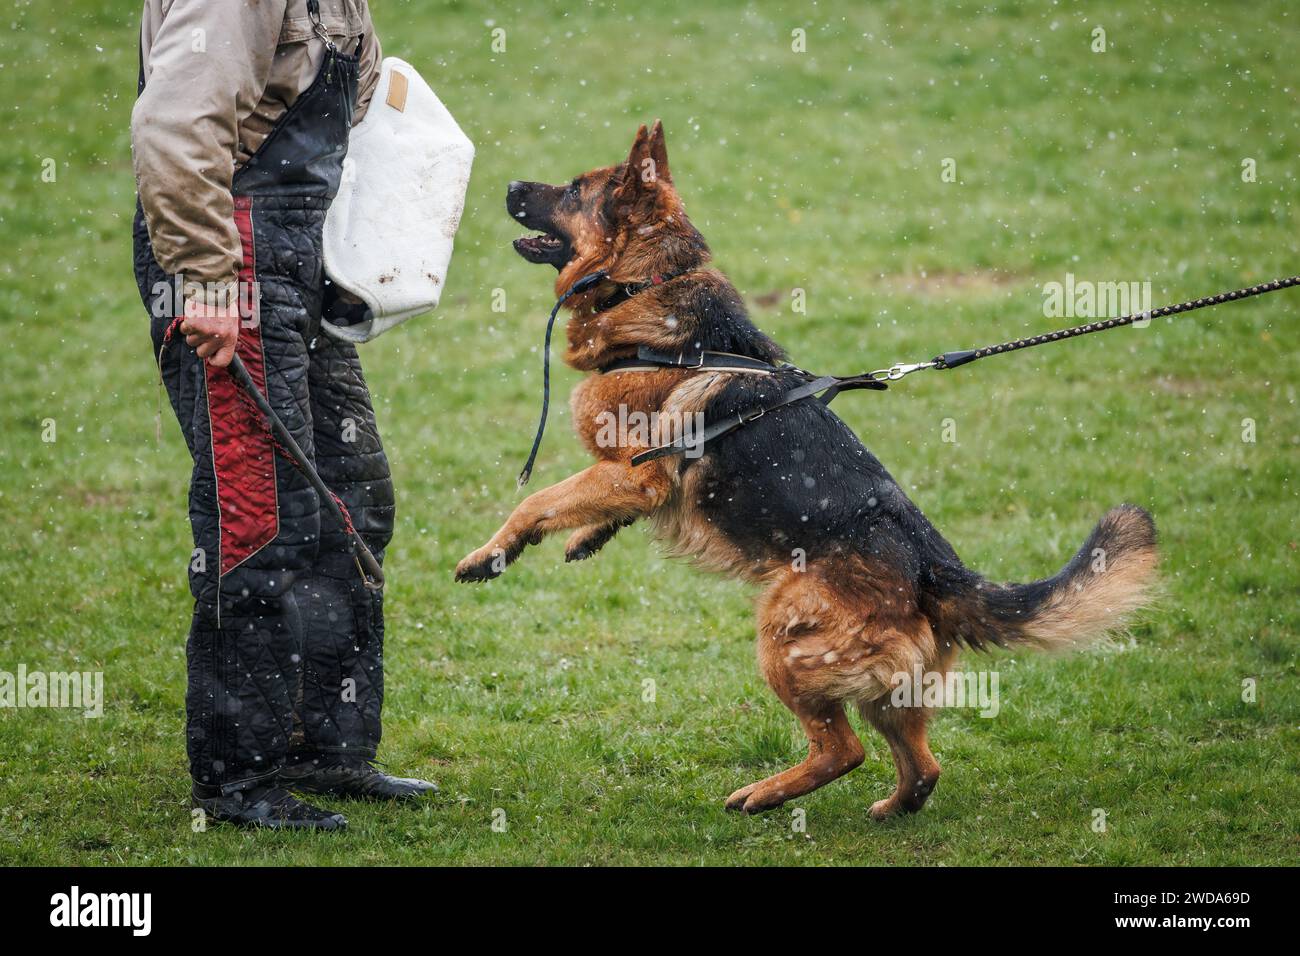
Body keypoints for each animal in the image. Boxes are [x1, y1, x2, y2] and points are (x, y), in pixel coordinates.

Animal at [457, 123, 1159, 816]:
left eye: (575, 189)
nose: (510, 183)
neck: (648, 288)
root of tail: (935, 568)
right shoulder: (635, 481)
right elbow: (580, 500)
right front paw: (584, 536)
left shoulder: (636, 471)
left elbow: (537, 499)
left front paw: (490, 555)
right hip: (887, 684)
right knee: (922, 766)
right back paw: (890, 807)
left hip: (781, 636)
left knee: (842, 750)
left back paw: (763, 796)